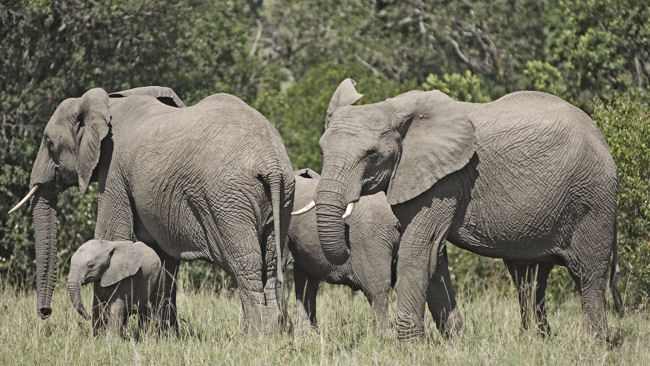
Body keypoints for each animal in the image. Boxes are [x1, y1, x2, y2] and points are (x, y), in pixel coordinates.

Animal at [8, 85, 292, 332]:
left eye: (49, 143)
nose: (45, 313)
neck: (106, 101)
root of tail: (270, 161)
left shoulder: (113, 166)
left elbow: (111, 233)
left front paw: (99, 335)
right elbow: (159, 253)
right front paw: (162, 335)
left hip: (228, 199)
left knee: (246, 262)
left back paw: (256, 335)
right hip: (283, 196)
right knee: (270, 263)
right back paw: (272, 333)